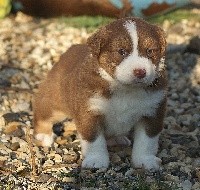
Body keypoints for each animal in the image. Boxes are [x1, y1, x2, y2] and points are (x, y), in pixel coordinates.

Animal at [32, 17, 167, 170]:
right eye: (121, 51)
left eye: (150, 51)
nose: (140, 72)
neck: (125, 89)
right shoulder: (89, 111)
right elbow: (94, 139)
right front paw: (96, 160)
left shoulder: (152, 111)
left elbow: (147, 141)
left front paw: (145, 160)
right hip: (55, 101)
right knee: (42, 113)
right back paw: (44, 135)